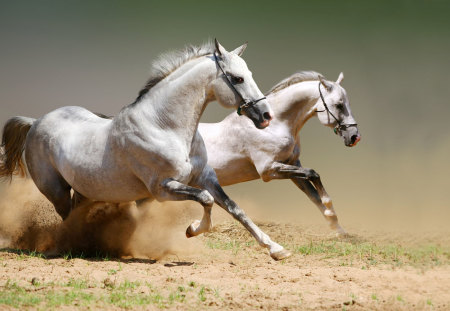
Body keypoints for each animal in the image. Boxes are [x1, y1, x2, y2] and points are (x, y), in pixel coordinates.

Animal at [0, 40, 292, 262]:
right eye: (237, 78)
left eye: (249, 74)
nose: (265, 116)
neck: (164, 126)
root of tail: (35, 122)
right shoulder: (162, 189)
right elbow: (206, 200)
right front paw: (192, 229)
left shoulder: (205, 177)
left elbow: (234, 208)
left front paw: (276, 249)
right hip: (56, 190)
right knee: (67, 218)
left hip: (84, 190)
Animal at [199, 71, 360, 236]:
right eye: (339, 105)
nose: (354, 137)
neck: (274, 126)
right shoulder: (268, 170)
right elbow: (313, 174)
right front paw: (330, 209)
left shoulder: (292, 165)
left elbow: (313, 195)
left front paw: (339, 229)